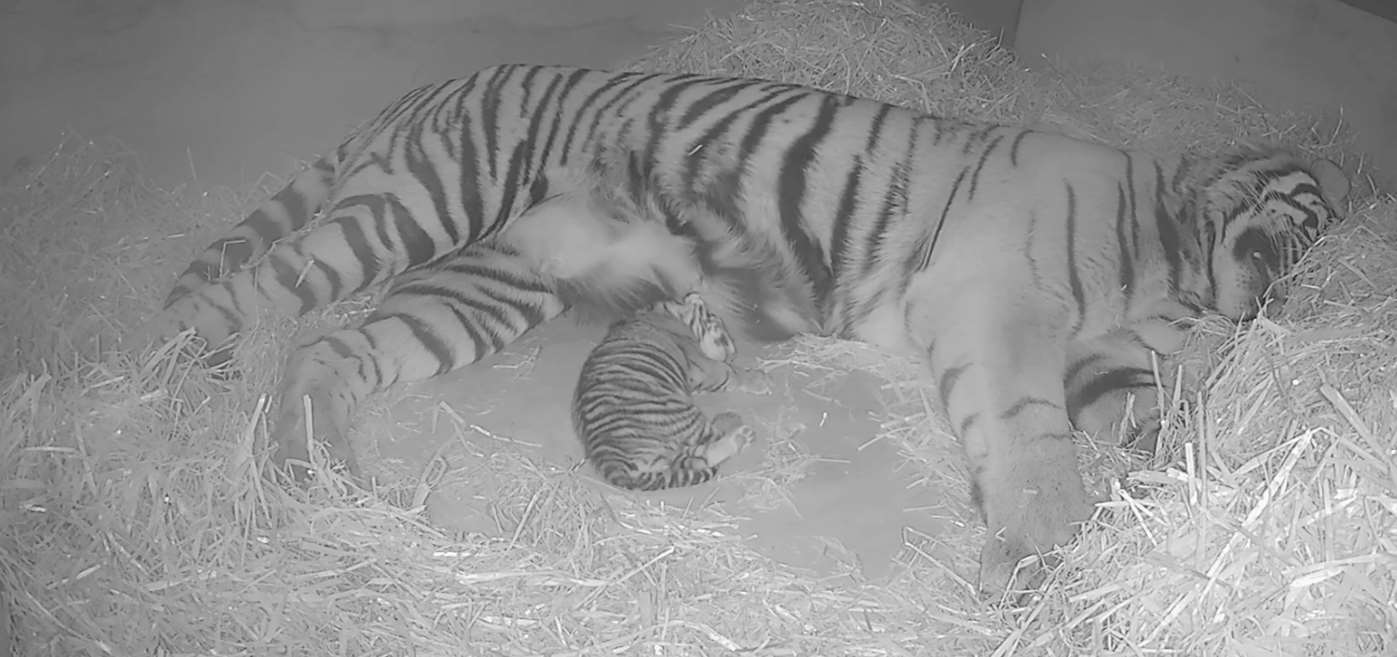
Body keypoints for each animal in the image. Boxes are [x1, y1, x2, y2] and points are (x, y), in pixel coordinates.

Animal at [150, 64, 1341, 598]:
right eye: (1305, 222)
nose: (1284, 294)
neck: (1167, 253)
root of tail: (435, 84)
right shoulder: (994, 306)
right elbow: (1029, 434)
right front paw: (1044, 545)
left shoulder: (1096, 352)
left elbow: (1145, 419)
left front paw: (1187, 483)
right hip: (420, 204)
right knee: (246, 296)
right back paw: (168, 396)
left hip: (489, 283)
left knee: (331, 349)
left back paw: (321, 475)